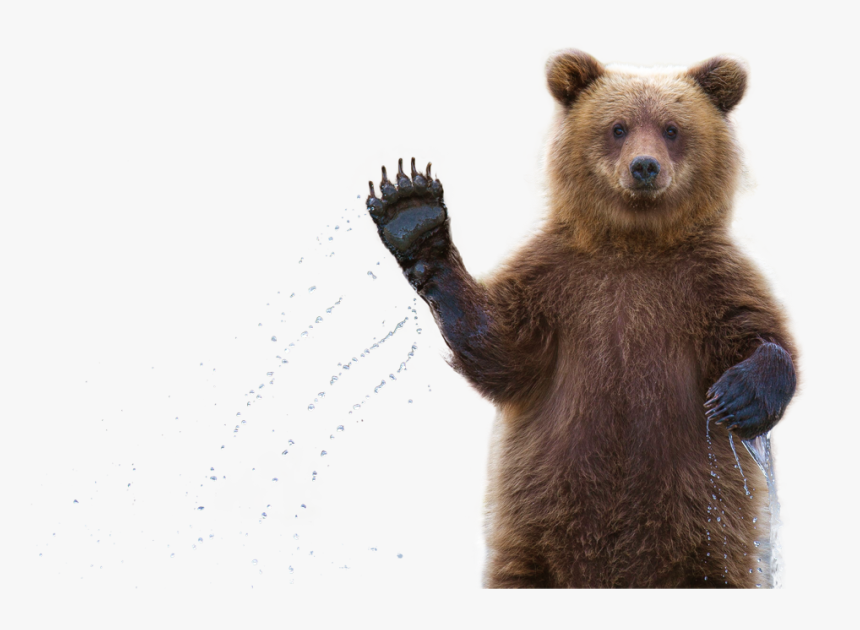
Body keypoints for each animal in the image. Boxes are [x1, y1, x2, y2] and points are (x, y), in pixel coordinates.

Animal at [364, 50, 797, 588]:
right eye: (618, 126)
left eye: (672, 128)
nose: (644, 166)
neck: (634, 242)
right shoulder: (558, 281)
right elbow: (502, 348)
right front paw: (412, 213)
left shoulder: (707, 282)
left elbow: (758, 332)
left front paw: (738, 396)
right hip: (532, 539)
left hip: (711, 535)